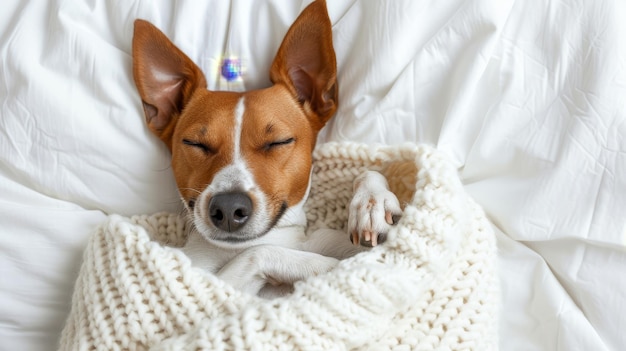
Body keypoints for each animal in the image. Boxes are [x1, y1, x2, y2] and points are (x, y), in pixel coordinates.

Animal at [134, 0, 402, 300]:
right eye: (196, 144)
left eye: (278, 142)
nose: (228, 207)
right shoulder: (204, 282)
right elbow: (259, 252)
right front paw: (325, 268)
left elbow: (368, 173)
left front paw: (372, 205)